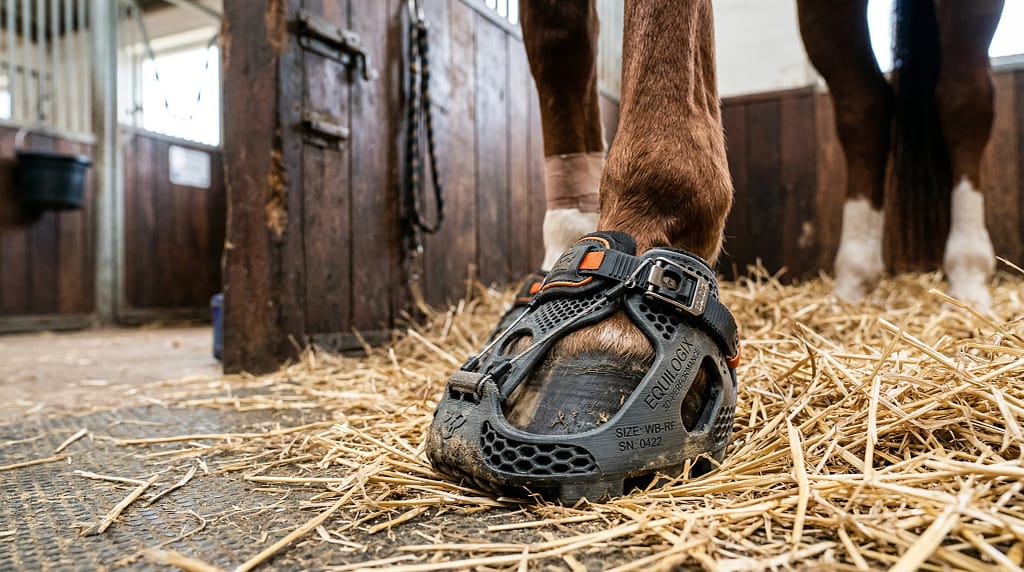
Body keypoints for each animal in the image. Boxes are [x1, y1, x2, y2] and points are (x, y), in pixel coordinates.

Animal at [424, 0, 1005, 501]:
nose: (464, 414)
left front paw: (597, 356)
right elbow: (558, 38)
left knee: (963, 94)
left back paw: (969, 278)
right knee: (862, 106)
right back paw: (852, 283)